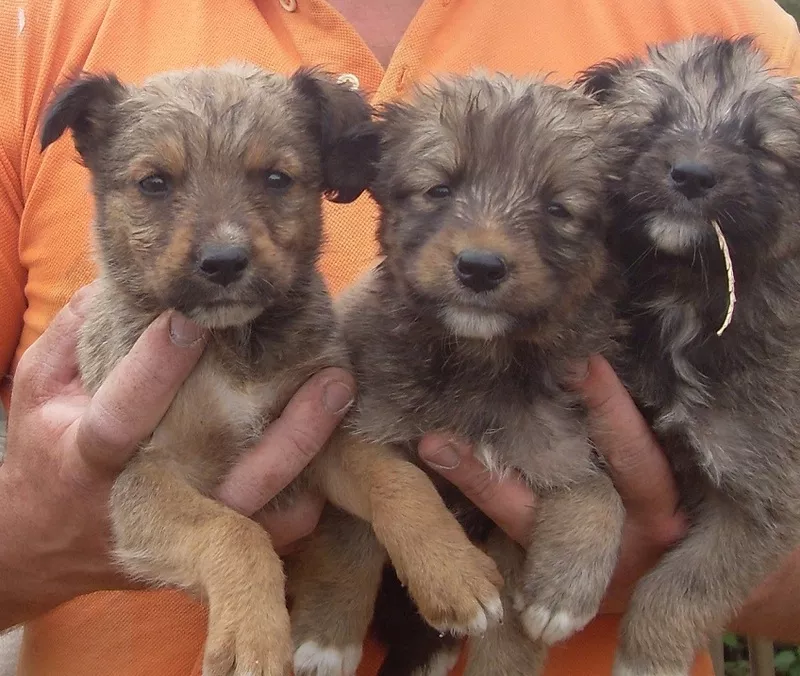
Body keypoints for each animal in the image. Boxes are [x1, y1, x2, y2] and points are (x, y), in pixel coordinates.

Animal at [290, 74, 628, 676]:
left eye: (558, 208)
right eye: (440, 189)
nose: (480, 268)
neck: (475, 365)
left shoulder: (551, 454)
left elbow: (597, 491)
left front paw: (563, 590)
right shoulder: (360, 428)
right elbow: (366, 520)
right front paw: (326, 639)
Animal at [580, 35, 800, 676]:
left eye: (759, 146)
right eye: (652, 123)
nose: (693, 175)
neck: (682, 298)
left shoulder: (759, 501)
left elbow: (681, 588)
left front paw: (646, 658)